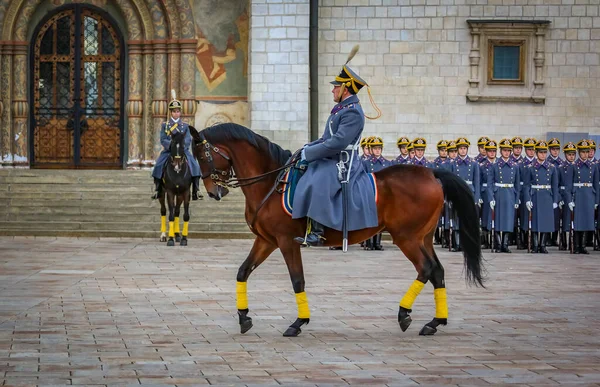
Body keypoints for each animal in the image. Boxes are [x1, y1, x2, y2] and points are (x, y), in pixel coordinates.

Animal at [190, 123, 486, 336]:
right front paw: (244, 317)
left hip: (407, 238)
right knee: (437, 271)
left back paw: (404, 314)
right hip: (423, 237)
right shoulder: (266, 241)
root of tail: (431, 173)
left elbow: (297, 280)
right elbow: (243, 271)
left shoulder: (286, 241)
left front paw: (298, 322)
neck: (271, 182)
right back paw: (435, 322)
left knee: (425, 268)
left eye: (202, 155)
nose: (214, 192)